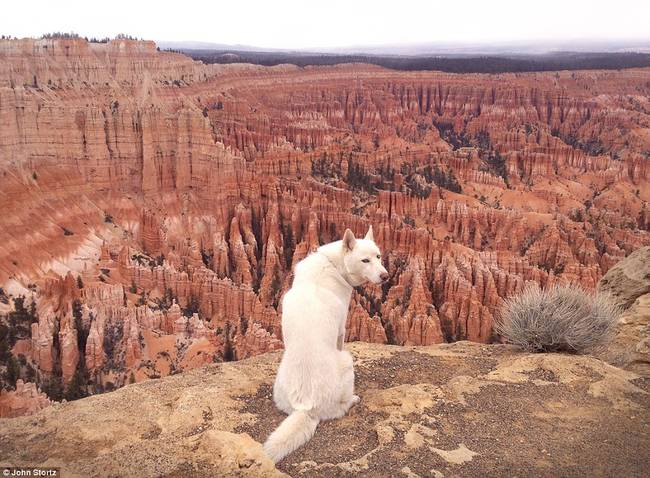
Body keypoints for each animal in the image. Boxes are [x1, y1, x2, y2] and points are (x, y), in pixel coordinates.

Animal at [262, 228, 388, 464]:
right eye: (364, 260)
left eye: (378, 256)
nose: (385, 276)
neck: (333, 264)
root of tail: (306, 407)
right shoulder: (341, 329)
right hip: (347, 361)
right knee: (341, 407)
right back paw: (353, 399)